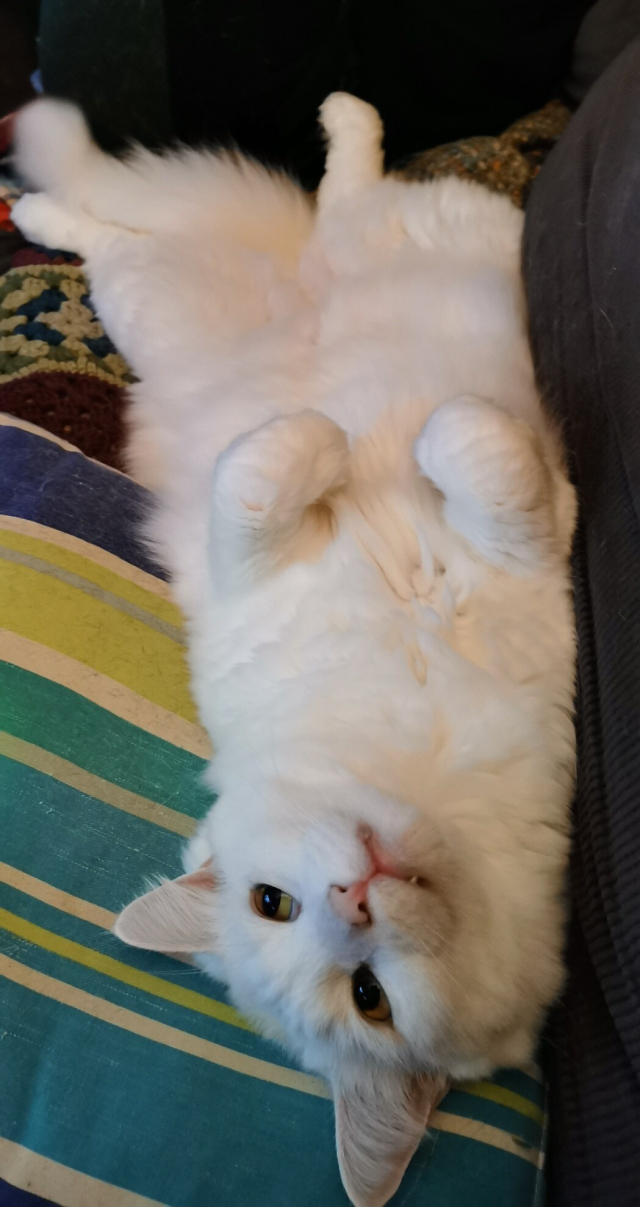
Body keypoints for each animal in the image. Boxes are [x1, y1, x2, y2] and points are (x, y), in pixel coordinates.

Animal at [13, 96, 572, 1207]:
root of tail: (296, 272)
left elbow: (478, 462)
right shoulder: (246, 563)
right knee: (120, 232)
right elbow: (283, 471)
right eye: (365, 995)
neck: (412, 760)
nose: (352, 896)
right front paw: (342, 441)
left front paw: (380, 444)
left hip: (284, 269)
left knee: (319, 195)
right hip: (158, 310)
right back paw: (41, 208)